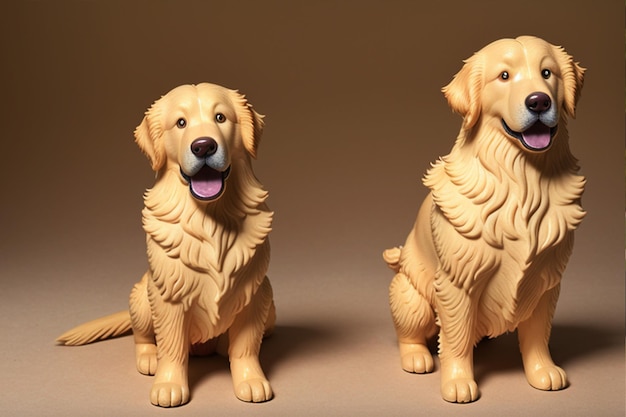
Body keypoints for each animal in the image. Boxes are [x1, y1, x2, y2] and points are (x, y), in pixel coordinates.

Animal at [58, 83, 272, 406]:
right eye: (180, 123)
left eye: (220, 117)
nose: (203, 146)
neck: (210, 221)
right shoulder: (169, 296)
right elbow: (172, 347)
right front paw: (169, 384)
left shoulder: (254, 294)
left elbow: (245, 345)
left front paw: (250, 379)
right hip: (141, 296)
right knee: (143, 336)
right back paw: (149, 358)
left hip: (270, 297)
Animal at [382, 36, 584, 404]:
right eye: (504, 76)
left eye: (547, 73)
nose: (539, 101)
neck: (522, 180)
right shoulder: (458, 282)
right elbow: (456, 339)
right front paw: (458, 381)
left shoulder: (547, 280)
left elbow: (537, 336)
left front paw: (542, 371)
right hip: (410, 295)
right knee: (414, 332)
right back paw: (416, 357)